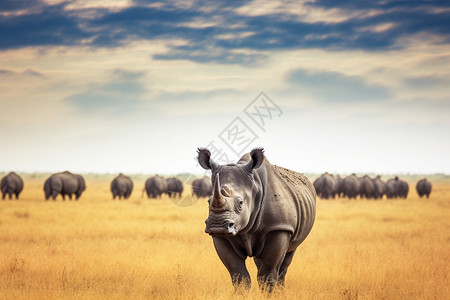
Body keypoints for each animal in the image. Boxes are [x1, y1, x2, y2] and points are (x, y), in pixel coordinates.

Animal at [197, 149, 316, 292]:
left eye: (241, 203)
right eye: (208, 202)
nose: (217, 226)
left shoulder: (279, 227)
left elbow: (267, 275)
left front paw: (270, 294)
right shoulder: (222, 237)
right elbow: (238, 274)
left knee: (287, 256)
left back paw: (281, 291)